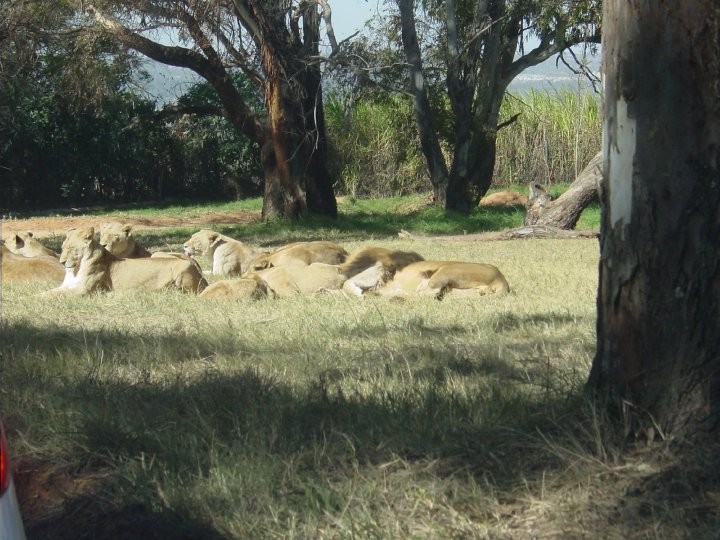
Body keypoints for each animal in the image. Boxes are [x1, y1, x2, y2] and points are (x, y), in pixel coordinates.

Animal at [47, 227, 207, 295]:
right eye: (62, 248)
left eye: (71, 248)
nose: (61, 262)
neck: (75, 269)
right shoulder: (67, 285)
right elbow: (50, 291)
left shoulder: (83, 290)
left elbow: (56, 295)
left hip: (183, 267)